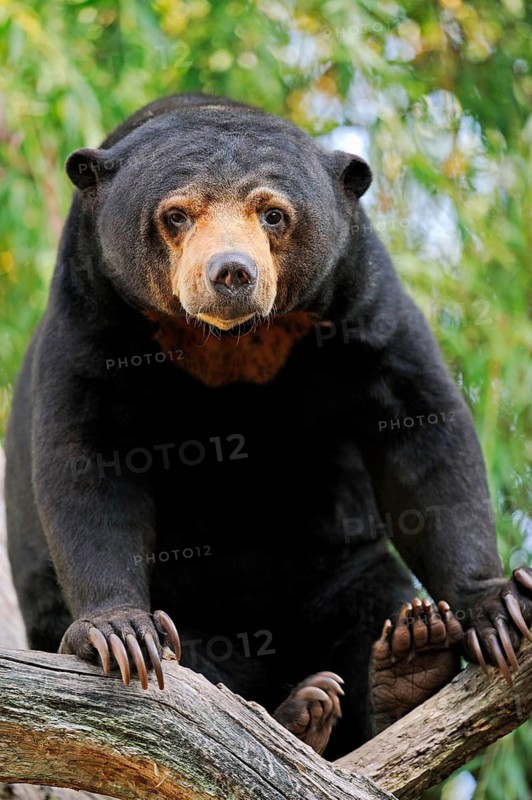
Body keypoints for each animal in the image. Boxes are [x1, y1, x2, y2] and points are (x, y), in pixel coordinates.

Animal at [5, 93, 532, 760]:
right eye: (176, 215)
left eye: (274, 214)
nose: (231, 273)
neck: (228, 346)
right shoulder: (92, 313)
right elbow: (87, 461)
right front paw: (118, 633)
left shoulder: (362, 299)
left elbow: (422, 431)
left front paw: (496, 606)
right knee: (196, 652)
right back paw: (301, 707)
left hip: (341, 572)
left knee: (375, 601)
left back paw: (409, 660)